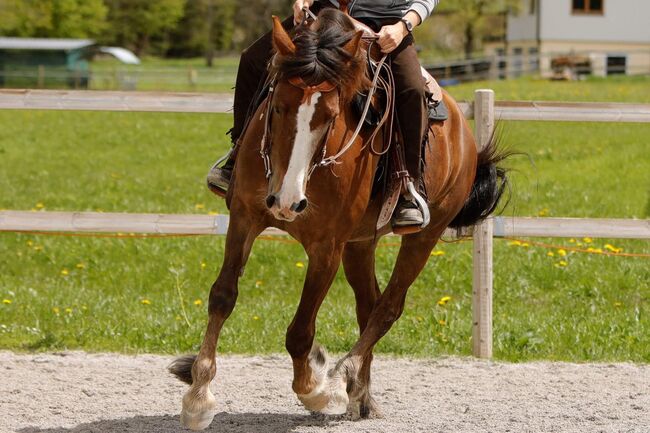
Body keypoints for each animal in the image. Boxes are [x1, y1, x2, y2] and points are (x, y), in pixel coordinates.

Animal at [170, 7, 508, 428]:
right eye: (277, 105)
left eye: (330, 116)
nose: (287, 201)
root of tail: (464, 132)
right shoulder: (244, 218)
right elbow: (222, 296)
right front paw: (198, 395)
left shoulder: (326, 247)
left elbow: (300, 332)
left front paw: (316, 388)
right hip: (360, 243)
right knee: (369, 306)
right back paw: (361, 396)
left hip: (424, 235)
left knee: (388, 308)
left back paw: (343, 376)